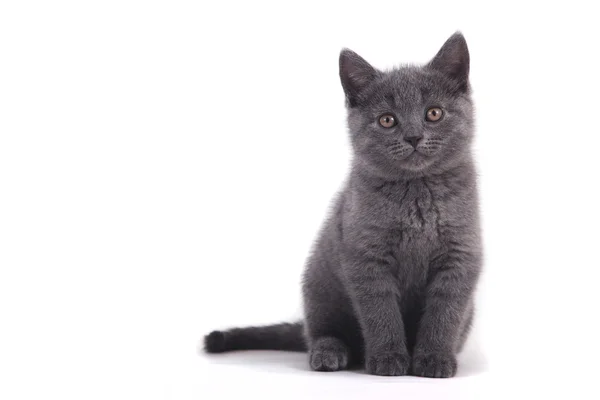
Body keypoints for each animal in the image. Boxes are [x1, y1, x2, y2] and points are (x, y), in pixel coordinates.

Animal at [204, 32, 480, 378]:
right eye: (387, 120)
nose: (414, 137)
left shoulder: (459, 256)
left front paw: (434, 359)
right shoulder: (365, 258)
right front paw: (388, 358)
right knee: (321, 331)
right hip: (319, 286)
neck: (417, 195)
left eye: (434, 113)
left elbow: (444, 314)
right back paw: (330, 353)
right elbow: (380, 312)